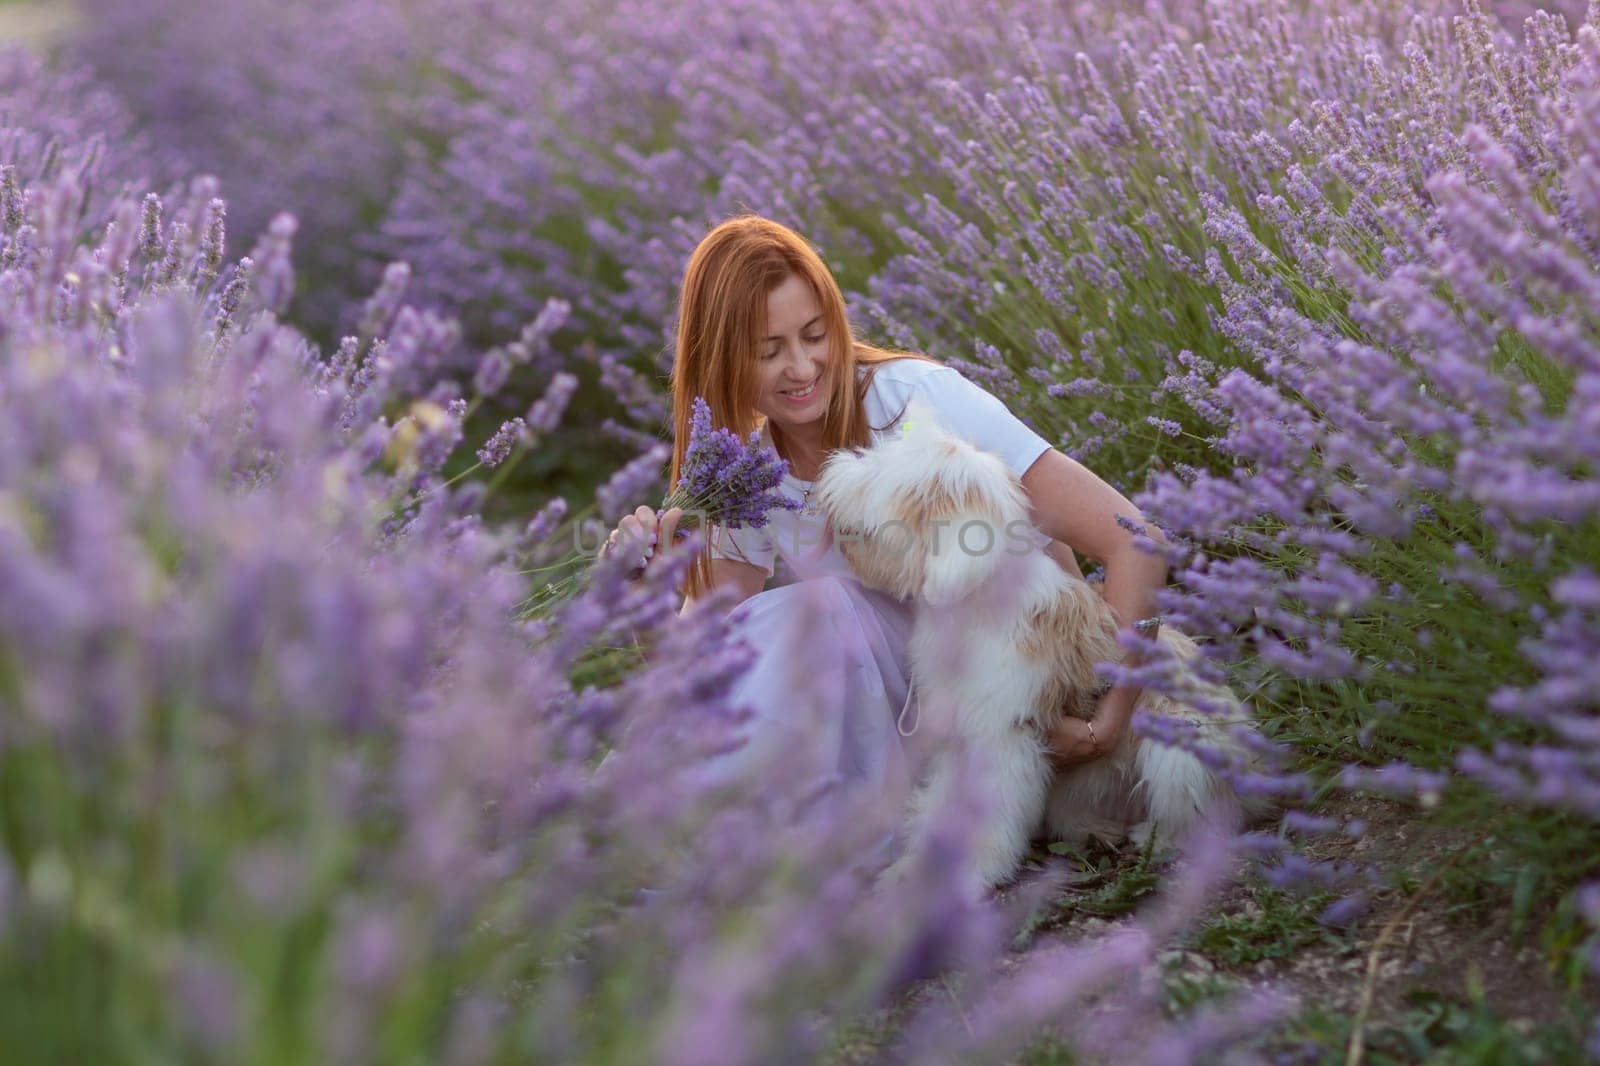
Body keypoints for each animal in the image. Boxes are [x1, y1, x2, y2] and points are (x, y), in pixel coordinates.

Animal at [812, 403, 1273, 883]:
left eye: (879, 471)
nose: (833, 466)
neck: (974, 600)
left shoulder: (1001, 735)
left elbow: (988, 811)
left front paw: (972, 871)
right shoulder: (957, 731)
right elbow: (941, 802)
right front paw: (914, 867)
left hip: (1182, 747)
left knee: (1202, 818)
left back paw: (1155, 839)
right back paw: (1098, 831)